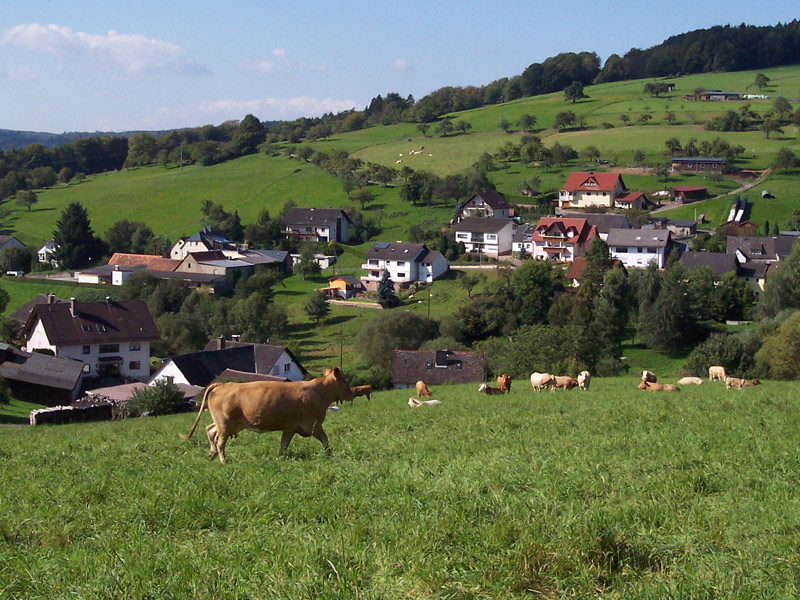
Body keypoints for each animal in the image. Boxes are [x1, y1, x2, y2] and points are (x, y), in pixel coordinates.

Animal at [186, 366, 354, 464]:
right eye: (345, 381)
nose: (352, 393)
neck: (319, 392)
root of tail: (222, 385)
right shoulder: (313, 425)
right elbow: (325, 440)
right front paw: (330, 454)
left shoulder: (290, 428)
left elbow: (283, 445)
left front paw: (279, 458)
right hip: (225, 424)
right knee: (220, 442)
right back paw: (223, 461)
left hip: (226, 424)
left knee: (210, 430)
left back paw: (212, 454)